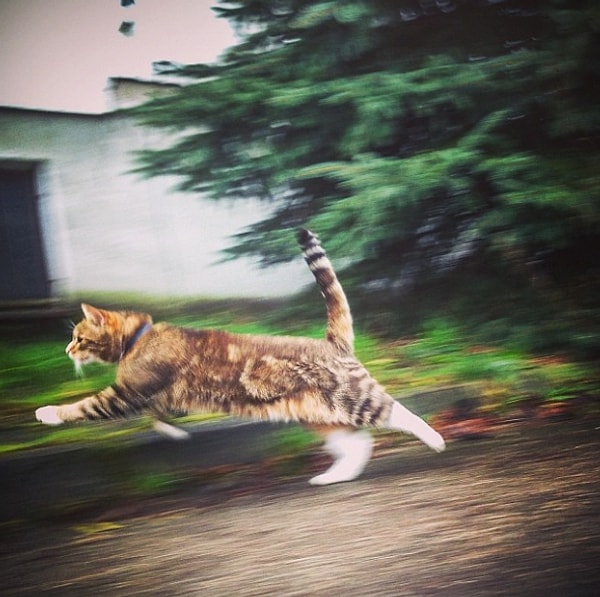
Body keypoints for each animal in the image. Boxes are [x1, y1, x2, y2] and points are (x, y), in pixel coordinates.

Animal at [34, 228, 446, 484]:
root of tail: (332, 342)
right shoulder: (154, 394)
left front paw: (49, 413)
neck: (139, 337)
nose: (66, 349)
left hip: (354, 398)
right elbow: (159, 414)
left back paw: (435, 440)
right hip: (317, 416)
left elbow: (85, 406)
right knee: (358, 444)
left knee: (399, 414)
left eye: (79, 338)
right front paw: (172, 431)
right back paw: (334, 477)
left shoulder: (127, 393)